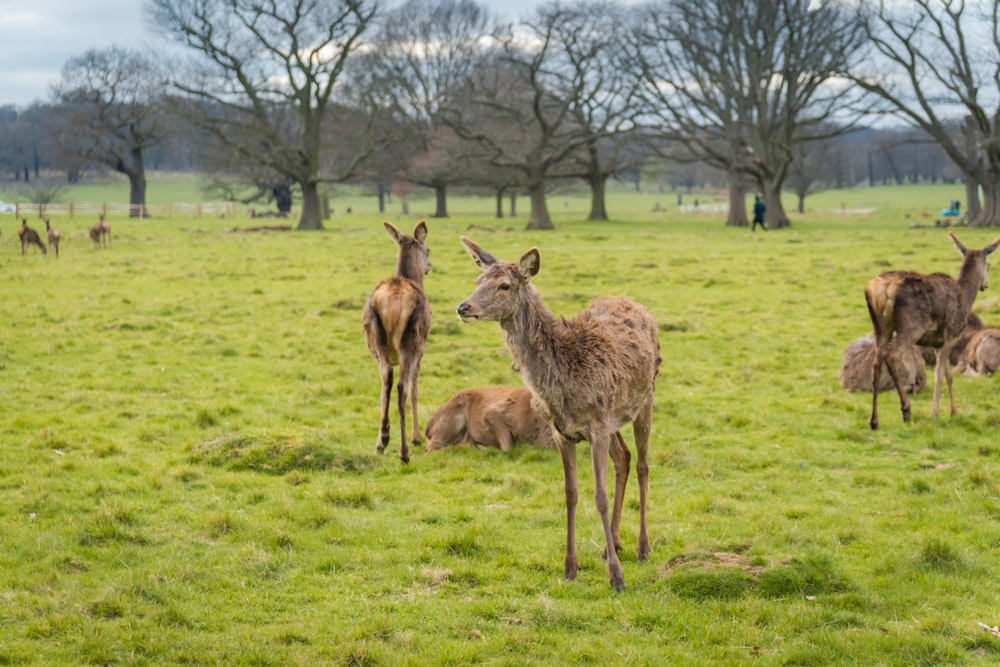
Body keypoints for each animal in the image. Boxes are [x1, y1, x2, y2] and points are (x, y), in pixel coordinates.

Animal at [366, 222, 432, 462]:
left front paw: (379, 441)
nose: (429, 265)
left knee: (387, 378)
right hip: (412, 341)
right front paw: (417, 437)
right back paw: (404, 451)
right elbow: (415, 391)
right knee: (402, 386)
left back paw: (384, 438)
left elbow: (381, 392)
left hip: (376, 340)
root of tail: (394, 303)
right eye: (428, 249)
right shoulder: (422, 352)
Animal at [458, 237, 660, 592]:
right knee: (623, 457)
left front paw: (616, 578)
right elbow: (570, 493)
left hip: (645, 399)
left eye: (504, 285)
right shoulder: (563, 431)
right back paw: (612, 544)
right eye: (478, 279)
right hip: (613, 418)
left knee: (643, 465)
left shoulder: (596, 428)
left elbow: (600, 495)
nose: (464, 307)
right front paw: (570, 567)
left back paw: (642, 547)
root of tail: (636, 304)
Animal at [864, 232, 996, 430]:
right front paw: (935, 413)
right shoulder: (952, 335)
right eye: (989, 265)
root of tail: (882, 289)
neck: (966, 299)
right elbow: (939, 374)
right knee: (892, 355)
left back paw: (874, 420)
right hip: (910, 327)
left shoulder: (937, 343)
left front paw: (954, 412)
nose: (985, 285)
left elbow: (949, 374)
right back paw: (906, 410)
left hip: (880, 327)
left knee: (876, 363)